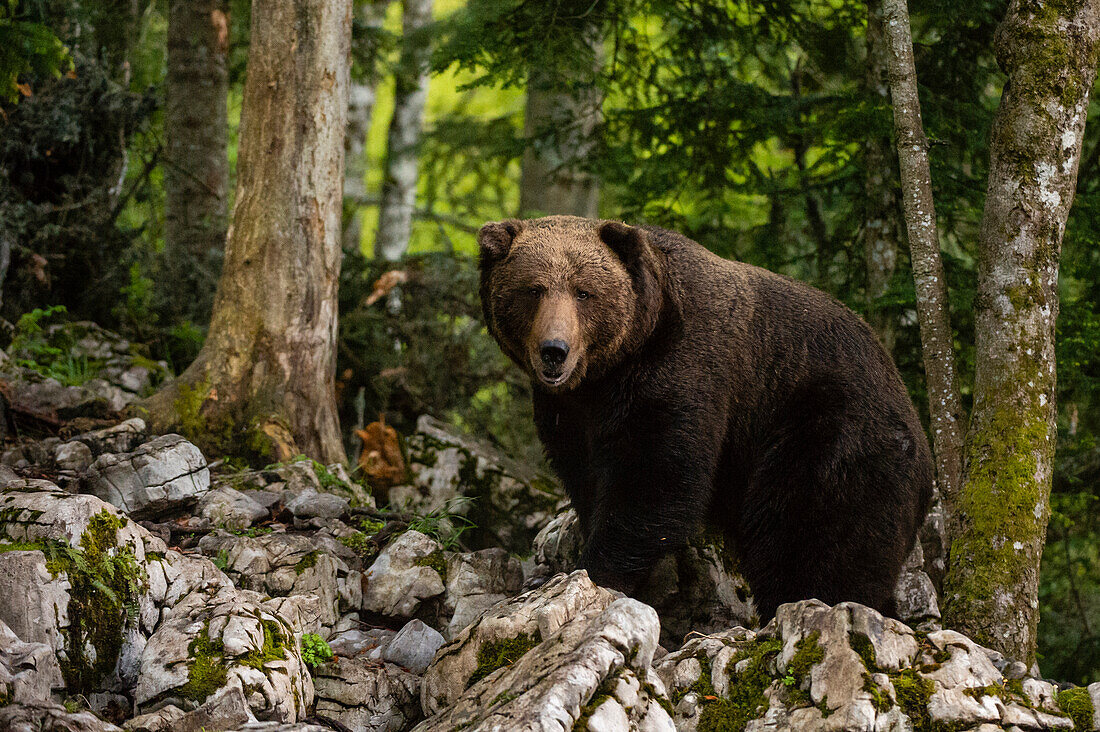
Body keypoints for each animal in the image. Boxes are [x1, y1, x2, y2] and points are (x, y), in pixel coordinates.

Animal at [477, 214, 932, 620]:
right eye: (533, 289)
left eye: (583, 292)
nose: (554, 350)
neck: (610, 370)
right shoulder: (570, 411)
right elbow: (585, 475)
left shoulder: (681, 368)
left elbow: (654, 474)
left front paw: (595, 570)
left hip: (832, 431)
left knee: (811, 532)